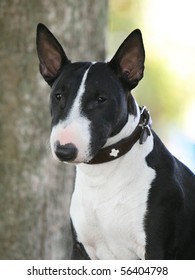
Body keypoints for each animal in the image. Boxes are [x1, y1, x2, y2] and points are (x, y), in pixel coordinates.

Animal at [35, 23, 195, 260]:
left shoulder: (156, 250)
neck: (102, 175)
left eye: (101, 99)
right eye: (58, 96)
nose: (64, 150)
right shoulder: (80, 249)